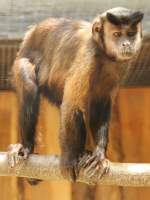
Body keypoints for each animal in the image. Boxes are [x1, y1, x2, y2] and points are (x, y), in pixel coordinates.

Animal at [8, 7, 144, 183]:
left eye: (131, 33)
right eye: (117, 34)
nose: (126, 43)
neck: (103, 54)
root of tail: (30, 35)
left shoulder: (120, 66)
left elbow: (99, 105)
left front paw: (99, 155)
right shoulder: (88, 56)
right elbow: (71, 105)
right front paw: (69, 159)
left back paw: (82, 153)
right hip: (21, 60)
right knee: (30, 86)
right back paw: (27, 146)